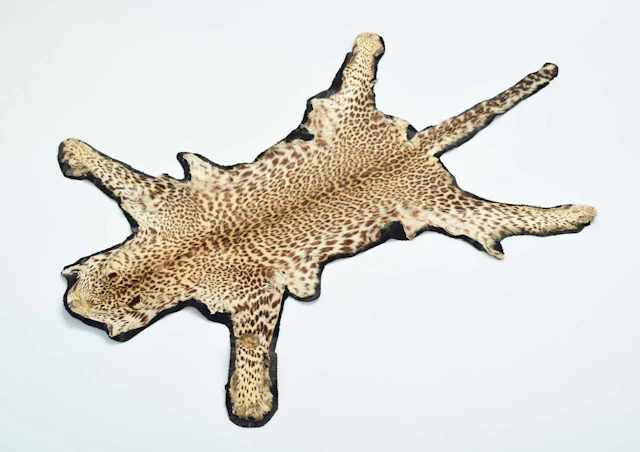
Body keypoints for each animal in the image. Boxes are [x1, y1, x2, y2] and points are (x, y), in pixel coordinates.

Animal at [58, 33, 596, 427]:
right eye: (83, 282)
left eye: (116, 321)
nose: (74, 306)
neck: (175, 258)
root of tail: (416, 146)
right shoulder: (157, 203)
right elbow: (115, 171)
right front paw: (75, 152)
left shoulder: (254, 300)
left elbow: (251, 352)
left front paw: (250, 404)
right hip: (340, 116)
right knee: (351, 81)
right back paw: (367, 43)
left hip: (447, 209)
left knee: (502, 217)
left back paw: (574, 213)